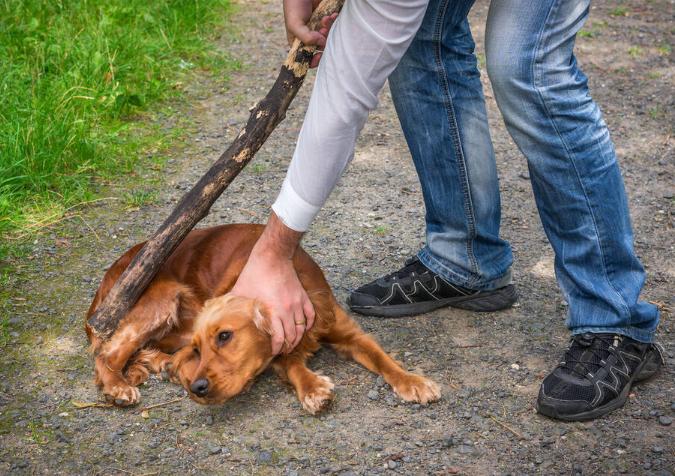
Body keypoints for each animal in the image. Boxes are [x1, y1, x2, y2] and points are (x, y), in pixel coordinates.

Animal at [86, 223, 444, 412]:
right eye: (201, 348)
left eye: (225, 336)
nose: (198, 388)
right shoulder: (280, 350)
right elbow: (294, 367)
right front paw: (313, 388)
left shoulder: (348, 333)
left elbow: (383, 359)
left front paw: (413, 381)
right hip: (163, 298)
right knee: (106, 353)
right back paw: (119, 386)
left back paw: (159, 366)